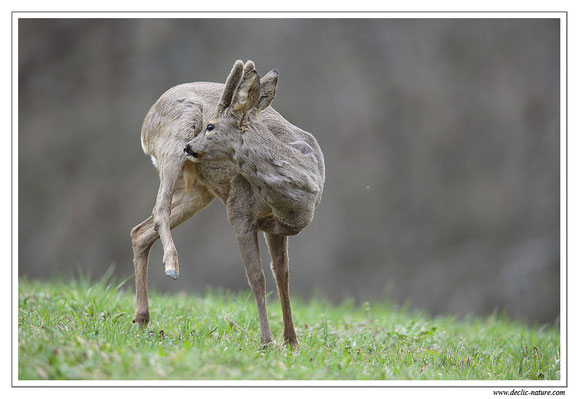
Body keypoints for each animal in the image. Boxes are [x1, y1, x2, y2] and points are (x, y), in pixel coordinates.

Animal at [129, 60, 324, 346]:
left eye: (210, 127)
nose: (190, 146)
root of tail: (147, 118)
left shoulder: (275, 227)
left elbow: (283, 275)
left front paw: (292, 341)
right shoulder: (239, 211)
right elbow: (257, 278)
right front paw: (266, 341)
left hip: (200, 191)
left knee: (140, 232)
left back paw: (142, 319)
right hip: (174, 139)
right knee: (159, 210)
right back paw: (172, 268)